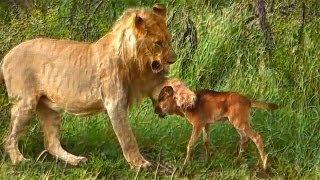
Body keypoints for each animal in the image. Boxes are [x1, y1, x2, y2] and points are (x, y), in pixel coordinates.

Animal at [0, 4, 196, 168]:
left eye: (169, 40)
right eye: (157, 43)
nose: (173, 60)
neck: (138, 64)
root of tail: (7, 55)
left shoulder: (152, 83)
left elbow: (175, 81)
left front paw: (189, 97)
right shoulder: (114, 101)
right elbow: (127, 136)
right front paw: (139, 164)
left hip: (49, 107)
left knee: (51, 143)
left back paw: (76, 160)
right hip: (25, 103)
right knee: (9, 137)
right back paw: (20, 160)